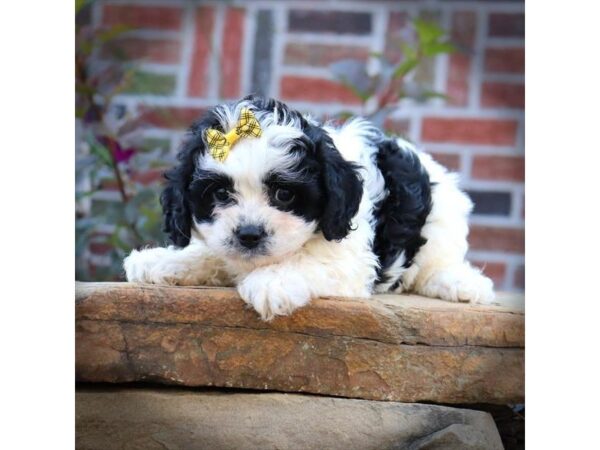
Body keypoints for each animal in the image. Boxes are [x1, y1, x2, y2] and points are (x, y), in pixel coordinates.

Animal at [124, 95, 494, 320]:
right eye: (219, 193)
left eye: (284, 195)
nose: (249, 235)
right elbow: (209, 253)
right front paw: (161, 260)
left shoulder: (351, 260)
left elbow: (309, 261)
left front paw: (270, 283)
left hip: (442, 224)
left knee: (437, 264)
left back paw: (463, 284)